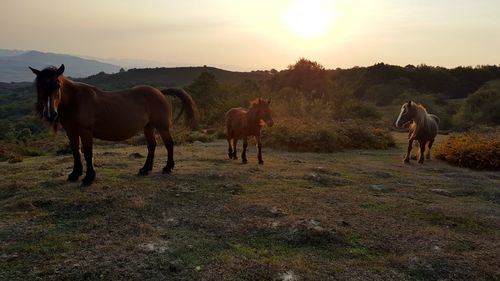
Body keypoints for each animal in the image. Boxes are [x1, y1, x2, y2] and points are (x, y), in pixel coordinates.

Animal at [28, 64, 197, 185]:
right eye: (40, 86)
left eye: (57, 85)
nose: (50, 114)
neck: (76, 101)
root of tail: (160, 92)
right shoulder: (71, 131)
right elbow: (76, 151)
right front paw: (75, 174)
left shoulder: (85, 131)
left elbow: (87, 152)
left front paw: (89, 178)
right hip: (148, 127)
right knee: (152, 146)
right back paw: (145, 169)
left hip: (162, 127)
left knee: (169, 144)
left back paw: (168, 167)